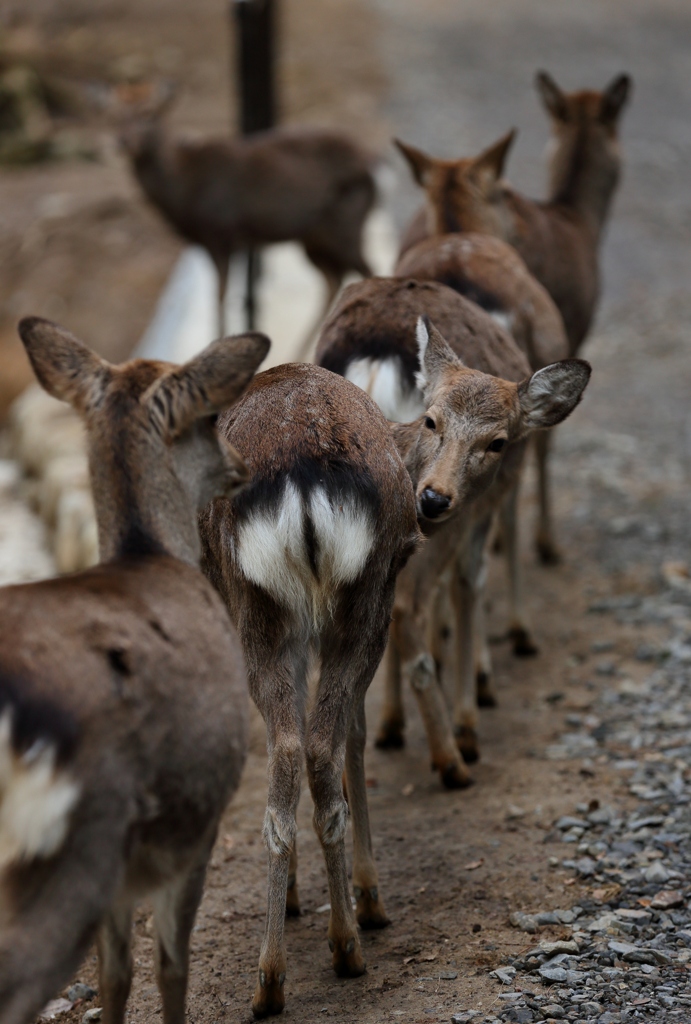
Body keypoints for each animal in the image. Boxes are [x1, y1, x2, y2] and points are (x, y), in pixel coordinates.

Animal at [0, 315, 268, 1024]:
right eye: (210, 417)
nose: (243, 465)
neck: (148, 553)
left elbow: (116, 973)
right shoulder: (201, 819)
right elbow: (171, 962)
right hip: (72, 847)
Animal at [197, 362, 419, 1015]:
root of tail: (302, 484)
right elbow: (356, 731)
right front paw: (368, 900)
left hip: (262, 612)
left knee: (289, 750)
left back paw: (270, 978)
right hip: (360, 603)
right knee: (319, 744)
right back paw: (347, 943)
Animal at [315, 290, 593, 782]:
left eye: (497, 441)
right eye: (431, 421)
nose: (433, 498)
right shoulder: (477, 517)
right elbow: (470, 581)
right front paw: (469, 719)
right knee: (416, 607)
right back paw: (450, 757)